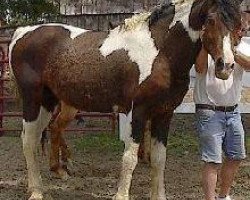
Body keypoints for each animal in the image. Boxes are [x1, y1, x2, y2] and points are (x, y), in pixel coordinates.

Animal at [9, 0, 242, 199]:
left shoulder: (164, 114)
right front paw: (121, 195)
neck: (161, 52)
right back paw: (37, 191)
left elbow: (159, 158)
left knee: (43, 133)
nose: (225, 66)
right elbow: (129, 158)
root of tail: (22, 33)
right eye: (210, 20)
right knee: (28, 140)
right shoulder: (137, 112)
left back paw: (52, 175)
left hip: (48, 102)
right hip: (33, 101)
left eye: (238, 24)